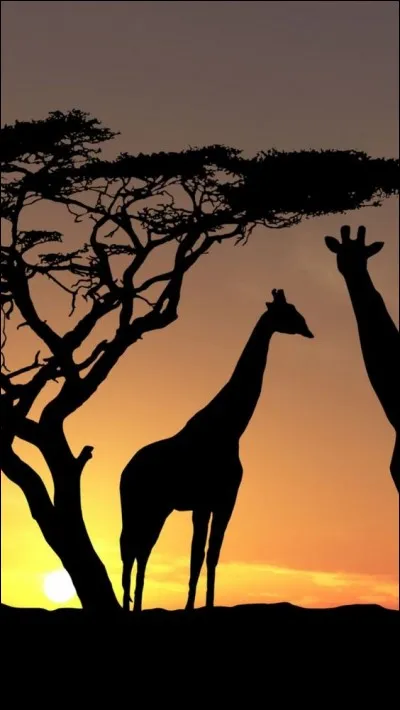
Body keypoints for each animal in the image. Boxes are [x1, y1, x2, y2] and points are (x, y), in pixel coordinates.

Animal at [119, 288, 314, 612]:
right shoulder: (205, 501)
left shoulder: (222, 500)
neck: (231, 428)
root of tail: (124, 472)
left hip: (156, 509)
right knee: (131, 547)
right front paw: (190, 607)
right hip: (141, 505)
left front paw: (207, 605)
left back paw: (134, 605)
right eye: (288, 312)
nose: (309, 330)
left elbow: (211, 555)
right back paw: (129, 605)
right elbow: (198, 555)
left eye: (297, 310)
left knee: (139, 549)